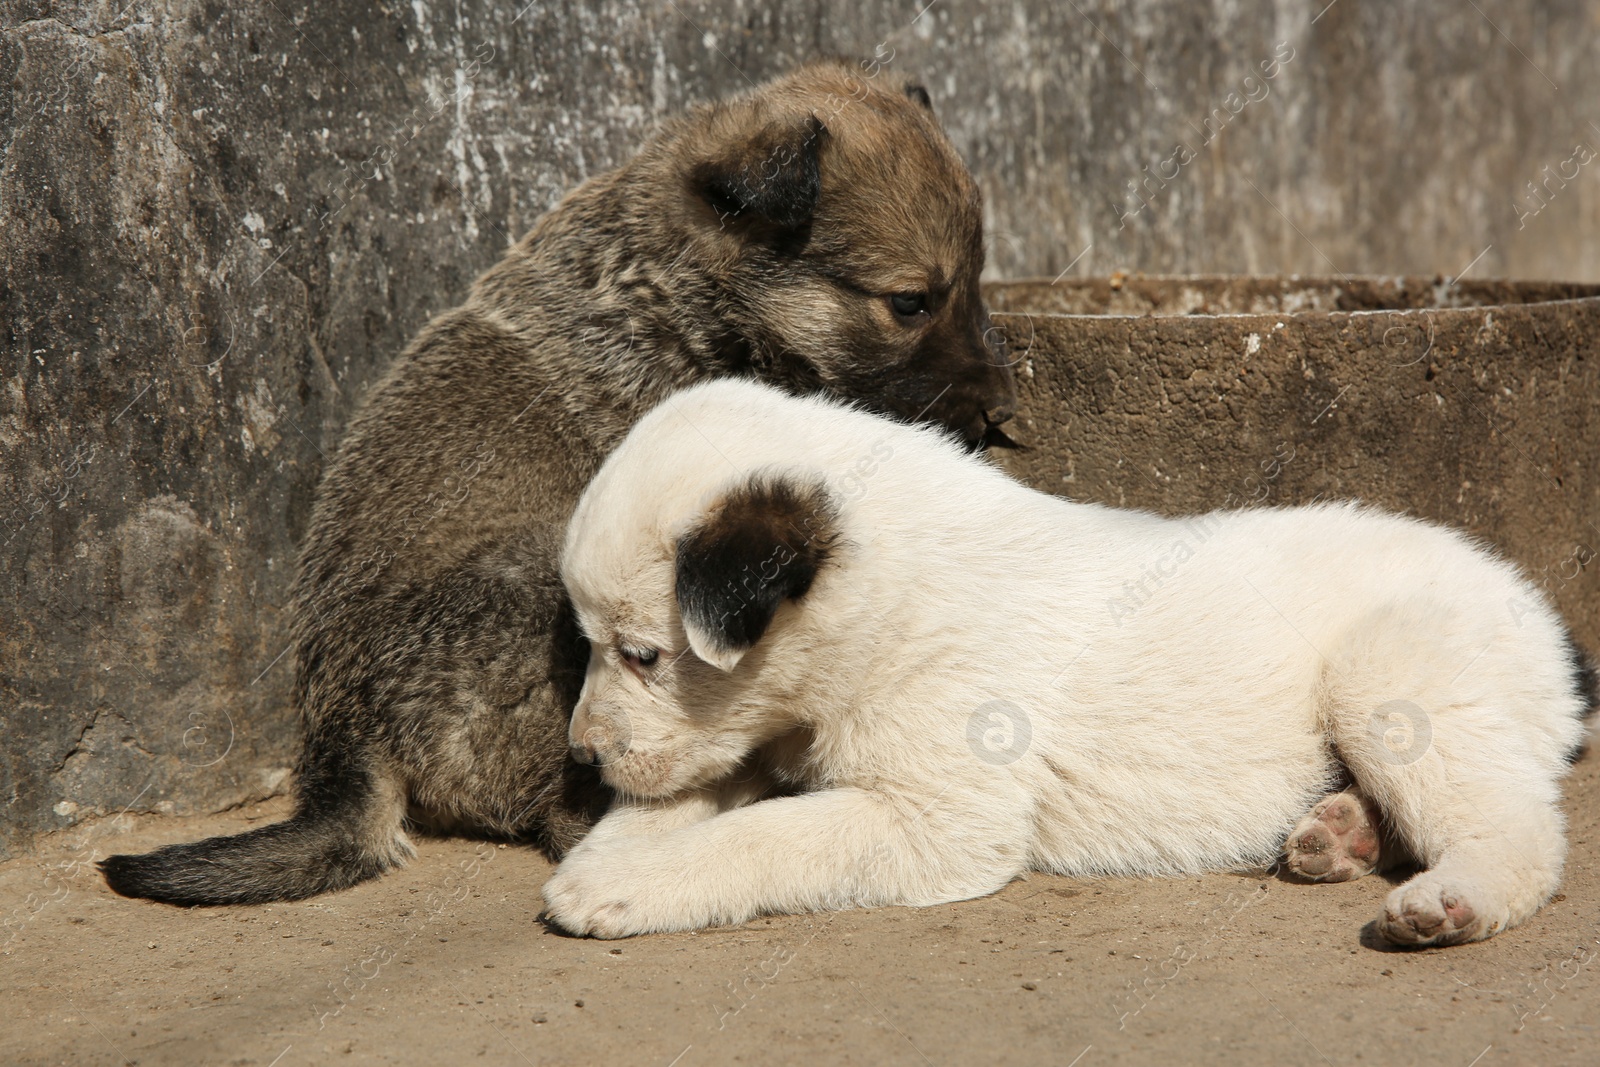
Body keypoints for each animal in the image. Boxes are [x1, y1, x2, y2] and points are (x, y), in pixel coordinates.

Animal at [103, 60, 1011, 902]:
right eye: (910, 302)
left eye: (973, 283)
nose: (1000, 413)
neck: (685, 284)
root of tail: (347, 740)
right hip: (547, 587)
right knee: (572, 803)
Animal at [544, 382, 1593, 940]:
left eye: (644, 653)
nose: (582, 757)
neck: (889, 589)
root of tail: (1547, 625)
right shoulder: (768, 728)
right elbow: (704, 786)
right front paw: (617, 846)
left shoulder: (940, 815)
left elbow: (774, 831)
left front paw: (627, 883)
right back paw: (1340, 834)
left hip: (1394, 671)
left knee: (1516, 828)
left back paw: (1451, 898)